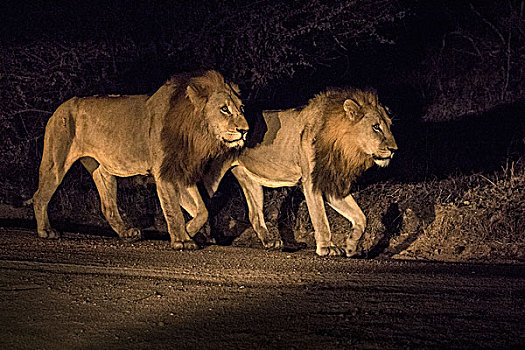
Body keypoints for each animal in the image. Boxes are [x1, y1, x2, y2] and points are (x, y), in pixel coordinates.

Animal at [31, 70, 249, 249]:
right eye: (224, 109)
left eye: (241, 108)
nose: (245, 130)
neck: (196, 132)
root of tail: (61, 107)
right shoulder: (164, 173)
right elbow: (173, 210)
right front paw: (182, 240)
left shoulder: (180, 171)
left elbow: (202, 211)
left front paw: (188, 230)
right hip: (56, 162)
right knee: (40, 196)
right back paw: (46, 231)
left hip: (103, 170)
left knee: (108, 207)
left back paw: (127, 233)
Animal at [205, 87, 398, 258]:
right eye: (376, 127)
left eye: (389, 126)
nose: (394, 150)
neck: (343, 147)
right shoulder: (311, 182)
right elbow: (321, 219)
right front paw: (327, 248)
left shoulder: (330, 183)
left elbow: (361, 218)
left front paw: (350, 246)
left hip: (250, 180)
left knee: (254, 214)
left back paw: (270, 242)